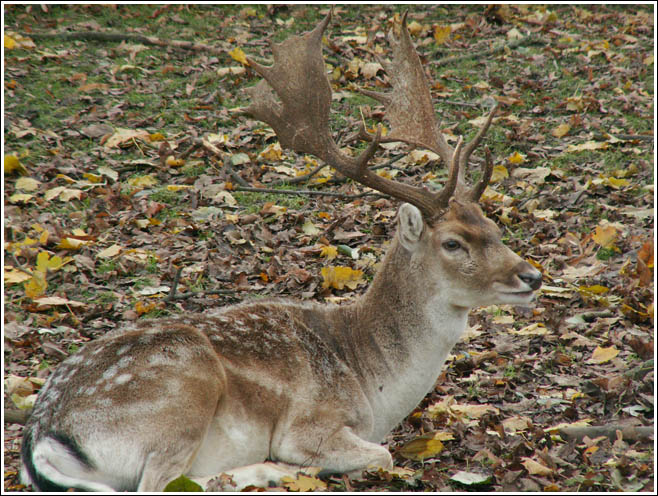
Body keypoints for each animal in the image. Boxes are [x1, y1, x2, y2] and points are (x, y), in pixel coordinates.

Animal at [21, 11, 540, 492]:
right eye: (453, 242)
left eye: (493, 227)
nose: (531, 275)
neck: (373, 385)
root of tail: (42, 438)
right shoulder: (310, 424)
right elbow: (382, 454)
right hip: (182, 391)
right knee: (163, 482)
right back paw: (269, 471)